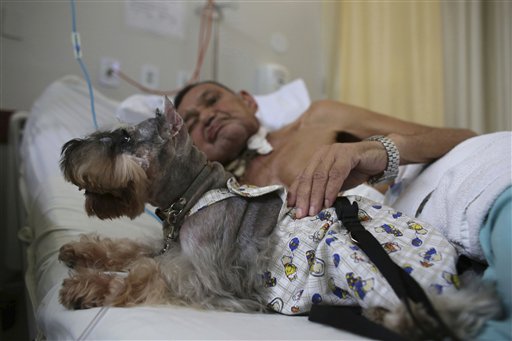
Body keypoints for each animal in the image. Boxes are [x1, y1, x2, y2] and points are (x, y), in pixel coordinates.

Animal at [59, 97, 500, 338]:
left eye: (124, 137)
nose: (67, 151)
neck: (195, 192)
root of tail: (458, 262)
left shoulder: (201, 275)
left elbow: (142, 275)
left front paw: (87, 285)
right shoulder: (167, 245)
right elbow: (128, 248)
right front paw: (79, 252)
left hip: (363, 260)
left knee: (449, 312)